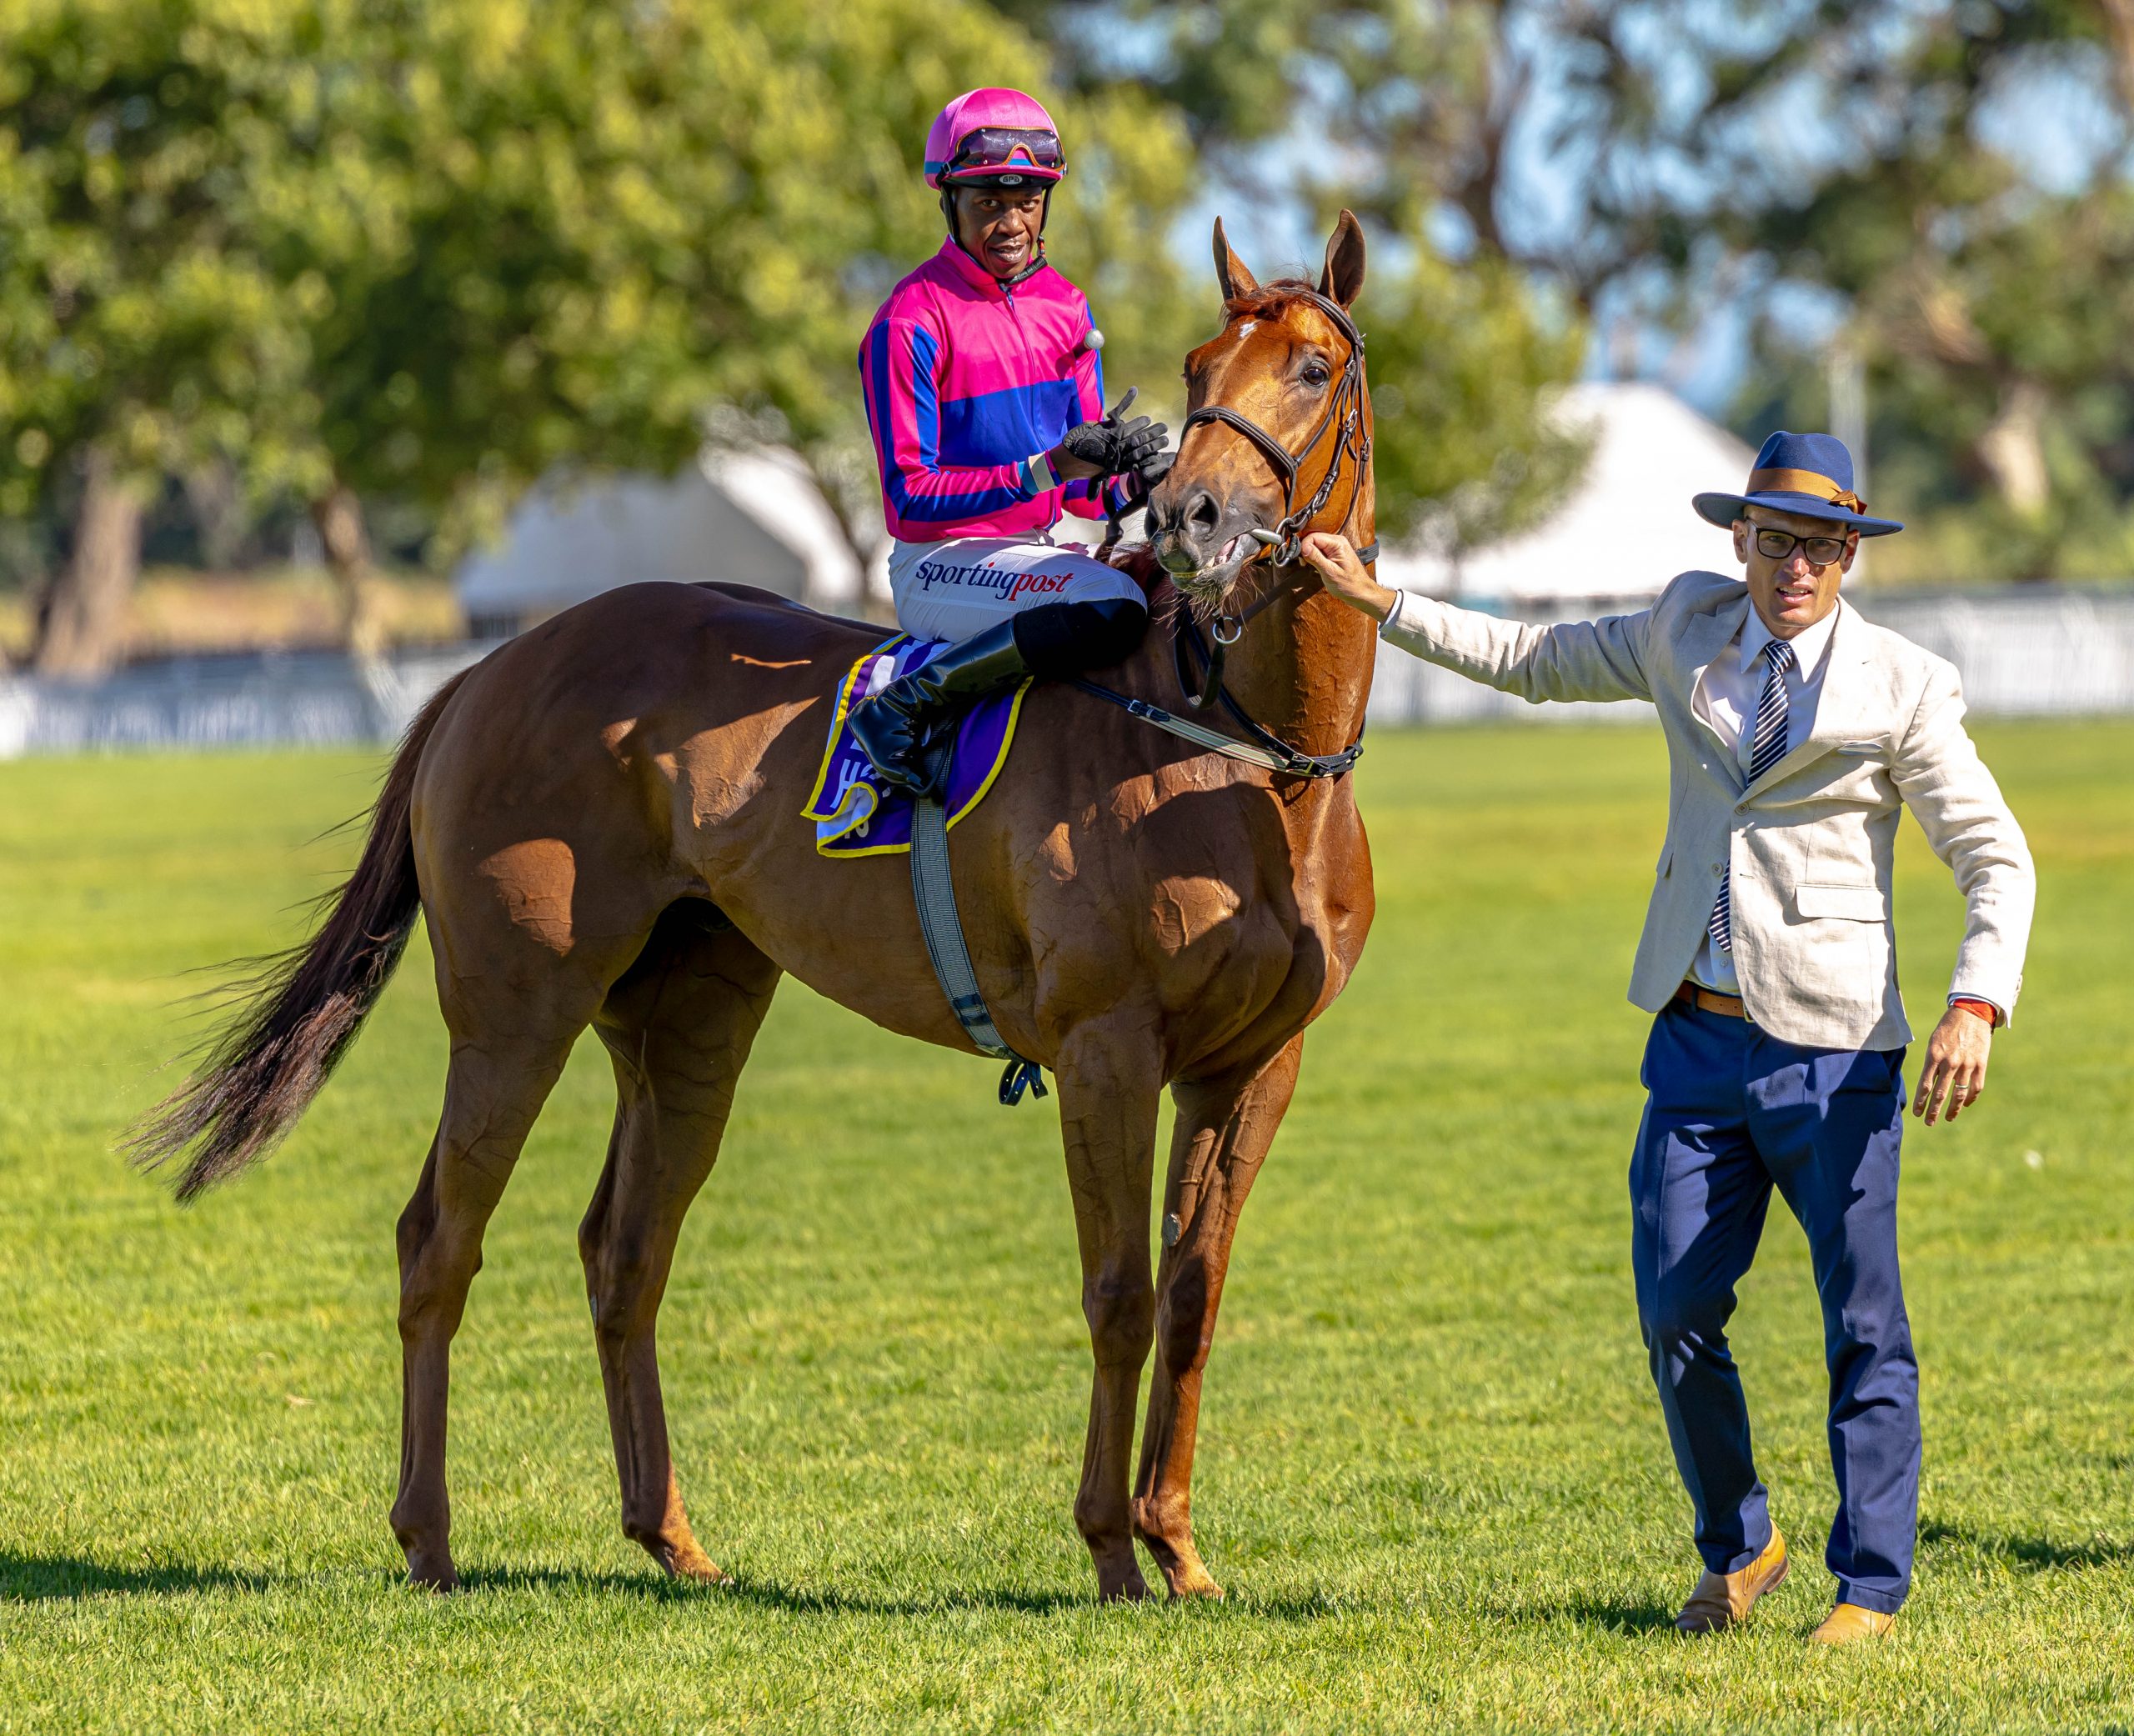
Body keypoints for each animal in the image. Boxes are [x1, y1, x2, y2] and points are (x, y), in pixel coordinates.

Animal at [133, 211, 1374, 1595]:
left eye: (1311, 366)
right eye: (1201, 365)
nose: (1185, 512)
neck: (1242, 748)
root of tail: (489, 666)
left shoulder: (1254, 1062)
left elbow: (1193, 1290)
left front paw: (1179, 1547)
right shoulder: (1109, 1045)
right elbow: (1119, 1290)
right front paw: (1111, 1550)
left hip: (689, 1019)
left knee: (624, 1251)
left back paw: (669, 1534)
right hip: (514, 1011)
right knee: (437, 1239)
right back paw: (430, 1536)